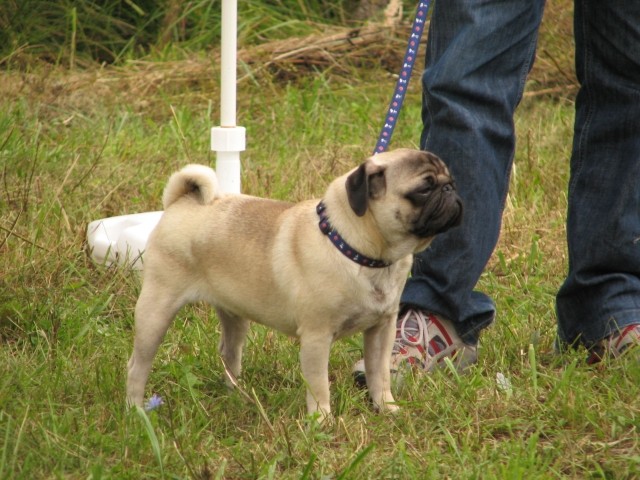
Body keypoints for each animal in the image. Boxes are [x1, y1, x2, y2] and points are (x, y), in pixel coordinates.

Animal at [125, 147, 462, 420]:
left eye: (450, 181)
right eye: (423, 189)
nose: (450, 189)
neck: (361, 252)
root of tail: (180, 202)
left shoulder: (382, 330)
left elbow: (379, 376)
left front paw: (386, 409)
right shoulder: (316, 337)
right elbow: (319, 385)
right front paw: (321, 421)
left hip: (235, 317)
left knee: (229, 353)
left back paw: (236, 395)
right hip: (156, 311)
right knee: (137, 365)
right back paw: (136, 411)